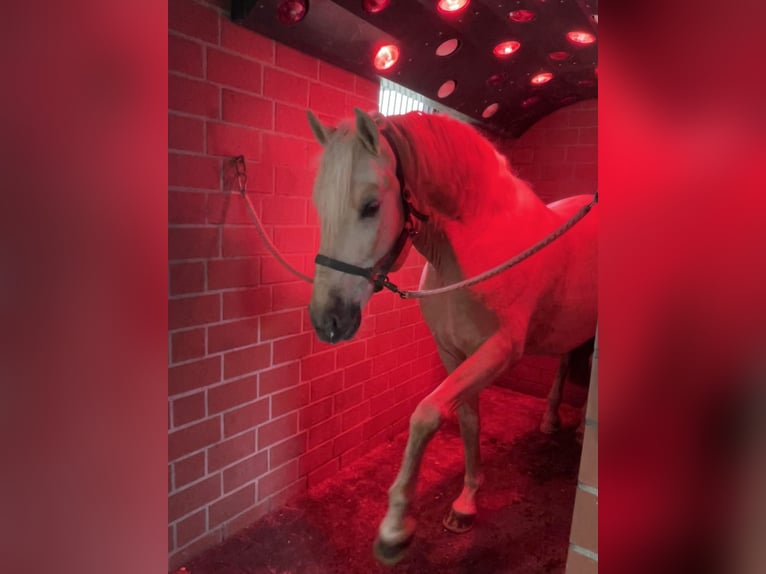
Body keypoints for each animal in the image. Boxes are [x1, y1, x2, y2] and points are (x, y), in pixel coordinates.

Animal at [305, 108, 598, 565]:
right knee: (566, 360)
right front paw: (466, 502)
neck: (475, 245)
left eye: (371, 206)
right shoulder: (452, 351)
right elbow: (467, 420)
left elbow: (426, 414)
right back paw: (551, 419)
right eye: (319, 205)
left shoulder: (498, 352)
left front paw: (394, 529)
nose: (327, 320)